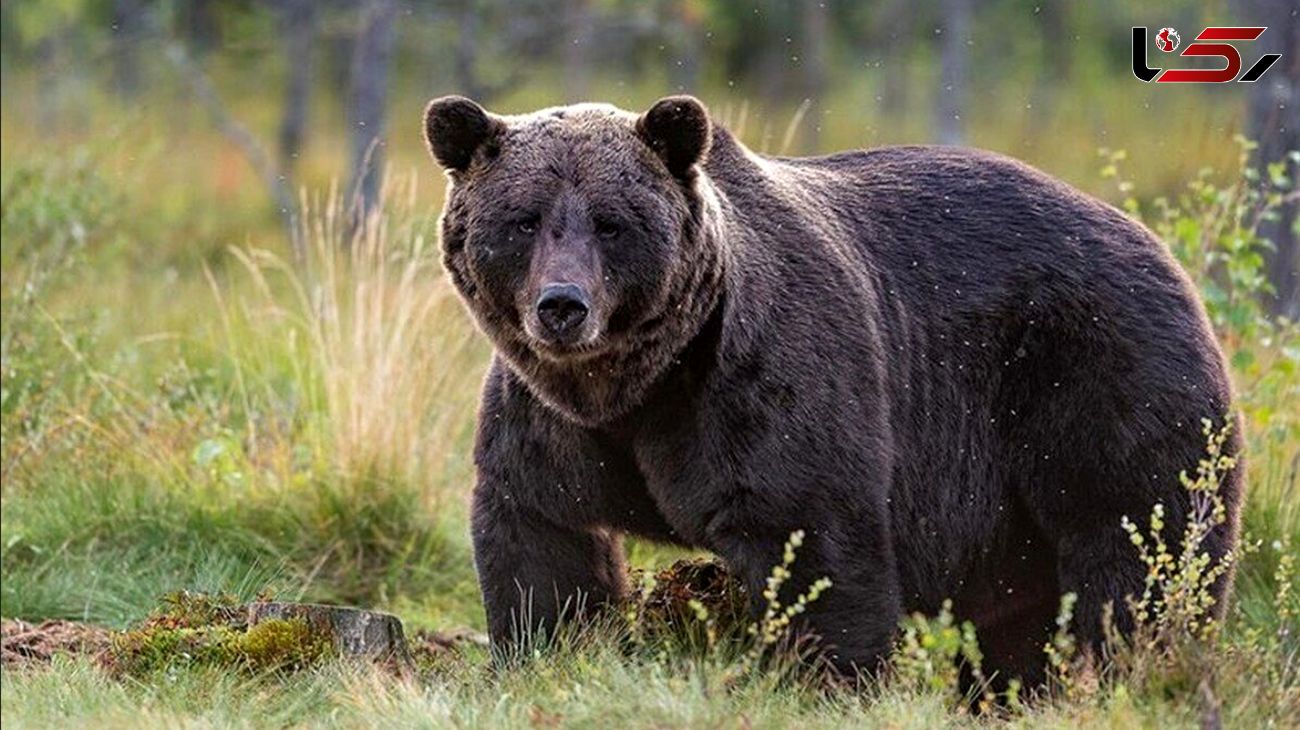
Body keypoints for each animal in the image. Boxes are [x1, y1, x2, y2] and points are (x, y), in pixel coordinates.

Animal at [421, 92, 1242, 680]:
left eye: (612, 222)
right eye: (524, 220)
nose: (563, 306)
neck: (640, 385)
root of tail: (1164, 251)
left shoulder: (761, 384)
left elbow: (813, 540)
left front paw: (826, 677)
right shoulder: (549, 421)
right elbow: (544, 543)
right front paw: (548, 652)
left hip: (1099, 377)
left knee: (1138, 546)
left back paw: (1129, 669)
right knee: (1025, 607)